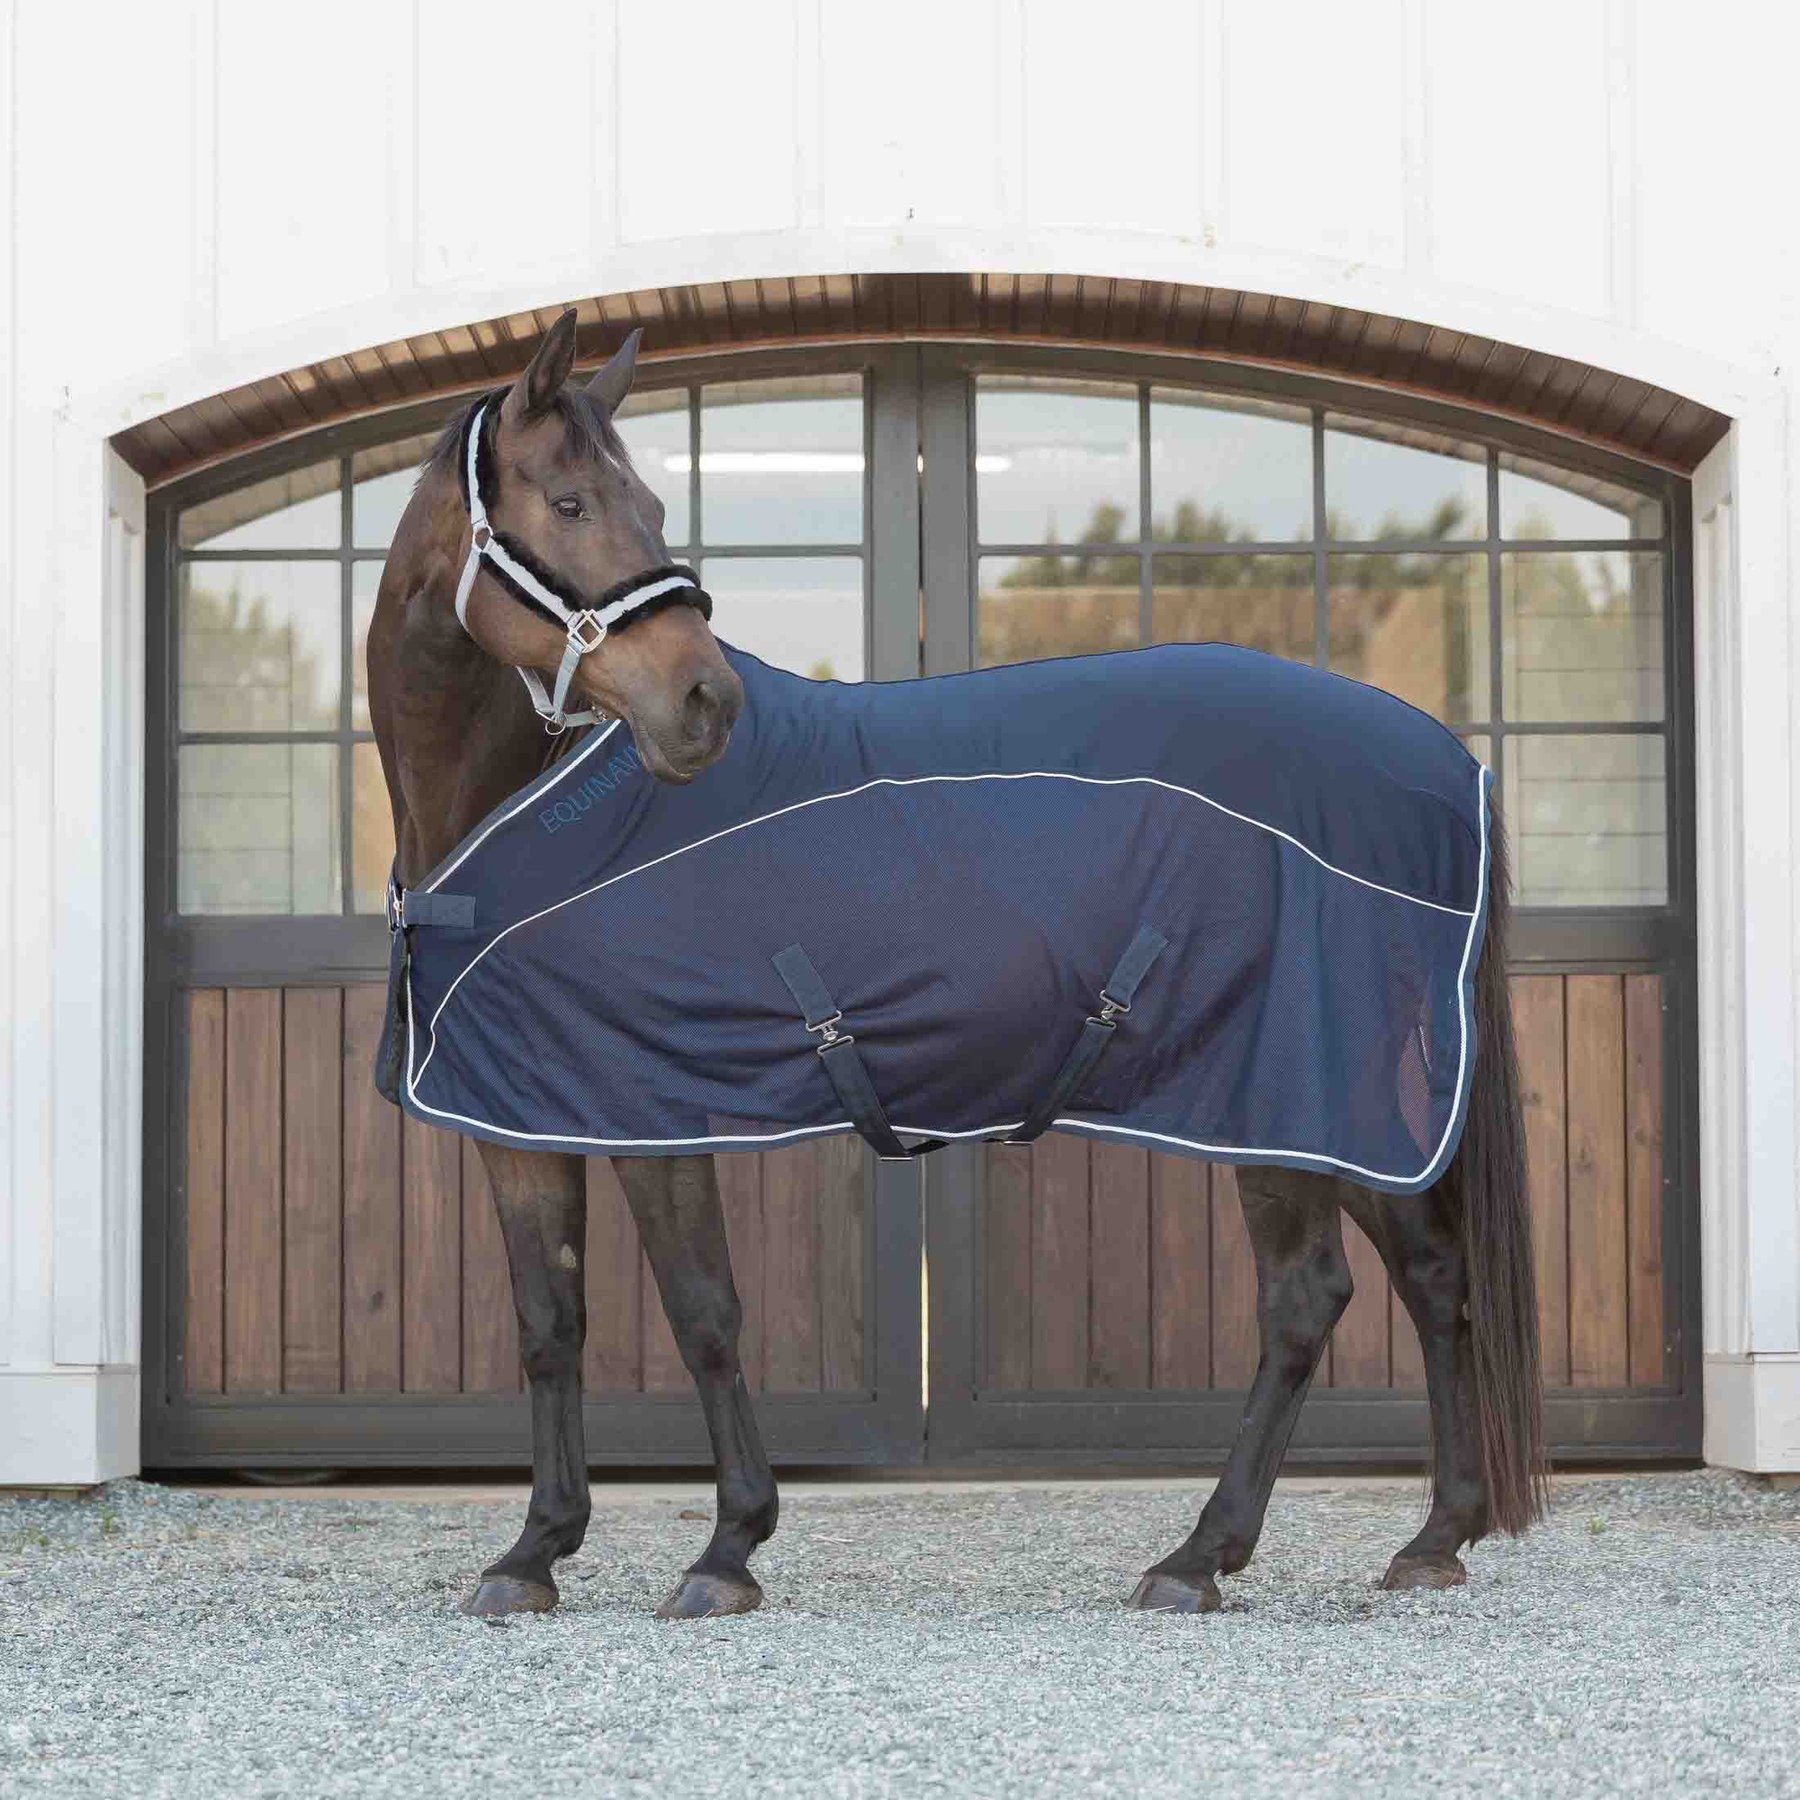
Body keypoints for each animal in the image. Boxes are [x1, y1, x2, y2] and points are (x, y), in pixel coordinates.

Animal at [367, 308, 1546, 1621]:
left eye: (652, 508)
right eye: (571, 501)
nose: (704, 702)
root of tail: (1443, 765)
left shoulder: (650, 1109)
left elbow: (702, 1310)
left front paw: (727, 1550)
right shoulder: (522, 1114)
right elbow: (549, 1319)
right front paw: (534, 1551)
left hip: (1278, 1089)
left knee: (1306, 1301)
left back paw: (1199, 1556)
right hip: (1340, 1106)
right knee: (1435, 1274)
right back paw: (1437, 1534)